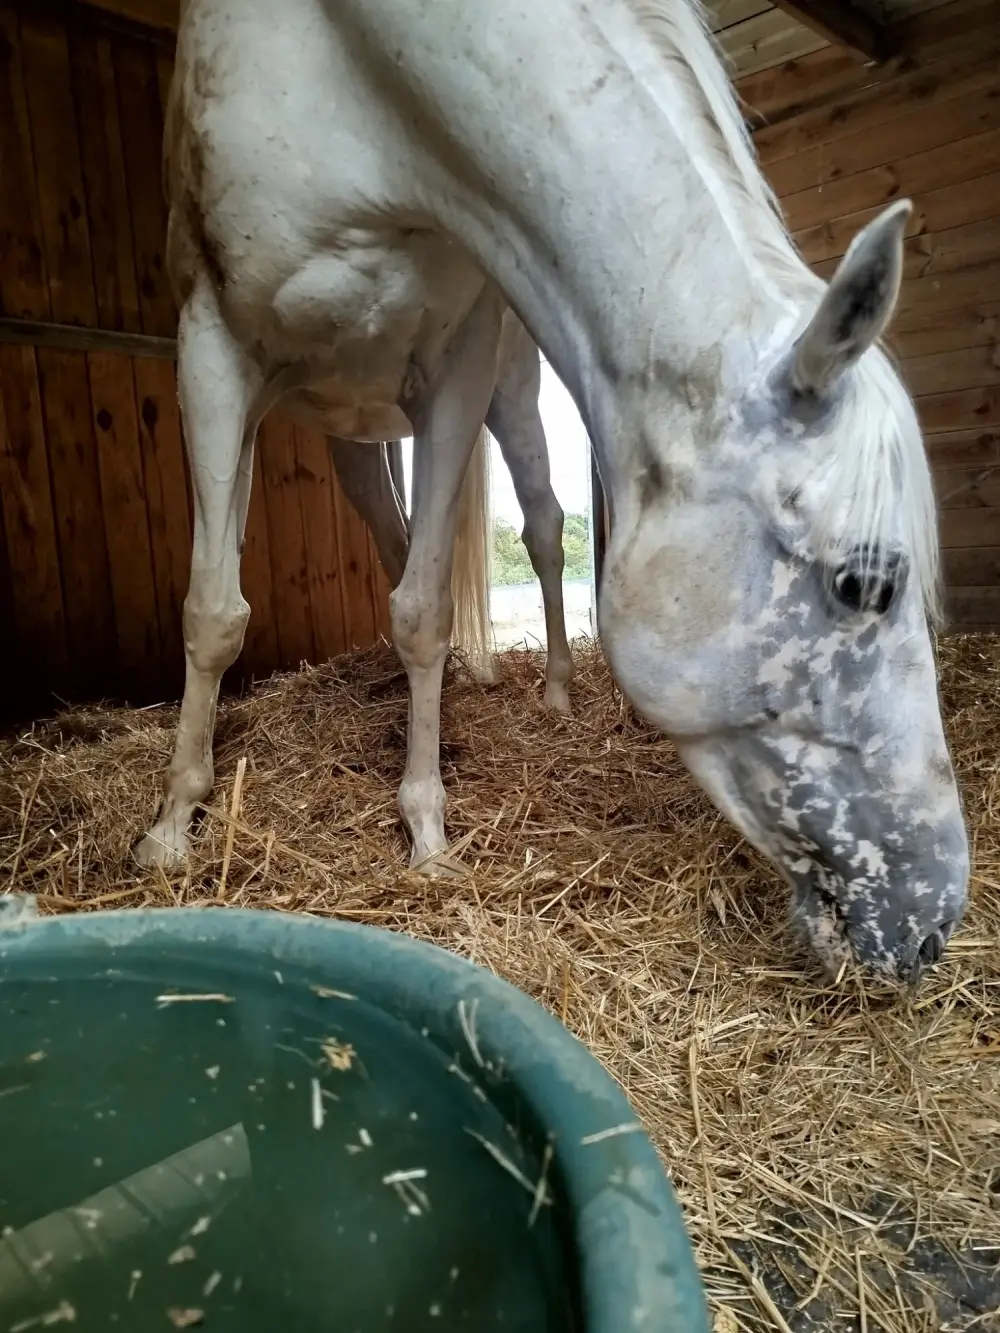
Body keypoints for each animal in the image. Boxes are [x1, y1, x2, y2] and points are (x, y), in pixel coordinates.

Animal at [140, 0, 969, 985]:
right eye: (861, 583)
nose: (932, 919)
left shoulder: (456, 369)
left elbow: (422, 607)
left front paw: (426, 830)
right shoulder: (211, 350)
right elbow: (214, 610)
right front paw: (172, 824)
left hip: (507, 397)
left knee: (535, 527)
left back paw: (556, 691)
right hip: (352, 430)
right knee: (395, 533)